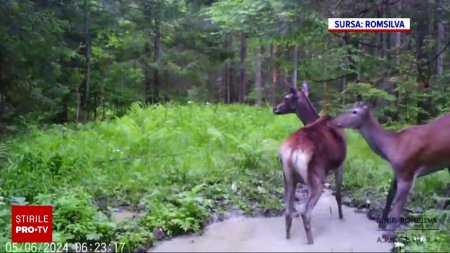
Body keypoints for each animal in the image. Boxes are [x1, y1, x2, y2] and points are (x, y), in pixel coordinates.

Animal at [270, 82, 348, 244]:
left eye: (286, 98)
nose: (275, 108)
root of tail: (292, 152)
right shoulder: (340, 164)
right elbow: (338, 195)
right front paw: (341, 217)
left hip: (288, 178)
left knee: (288, 213)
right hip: (318, 179)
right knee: (305, 214)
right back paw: (311, 242)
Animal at [334, 102, 450, 232]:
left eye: (355, 111)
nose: (336, 121)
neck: (392, 147)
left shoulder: (407, 174)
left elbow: (397, 207)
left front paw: (389, 231)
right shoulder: (397, 171)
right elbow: (390, 196)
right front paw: (381, 224)